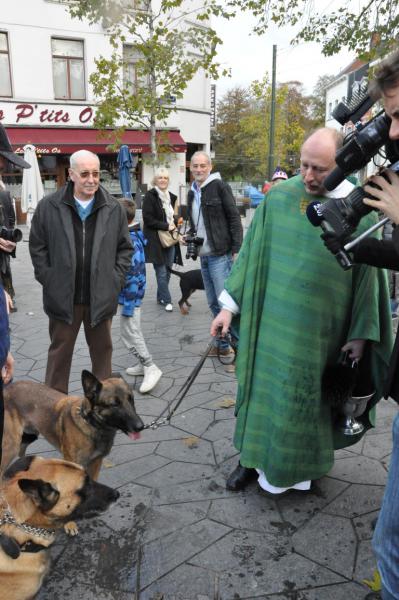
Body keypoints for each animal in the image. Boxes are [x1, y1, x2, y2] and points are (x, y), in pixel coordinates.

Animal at [1, 370, 145, 478]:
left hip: (28, 436)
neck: (91, 424)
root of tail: (7, 388)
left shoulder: (95, 463)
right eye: (114, 404)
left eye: (131, 399)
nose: (141, 426)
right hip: (11, 446)